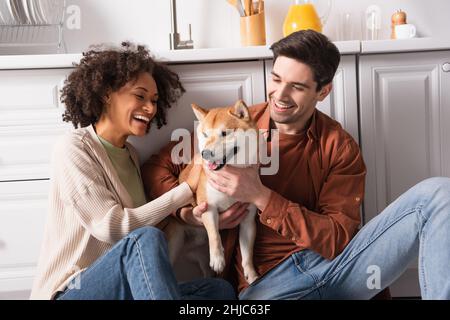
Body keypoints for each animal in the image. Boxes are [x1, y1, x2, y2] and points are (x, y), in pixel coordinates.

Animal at [166, 99, 258, 282]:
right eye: (205, 135)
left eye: (225, 133)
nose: (205, 153)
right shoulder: (207, 208)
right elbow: (214, 235)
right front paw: (217, 258)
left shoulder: (248, 220)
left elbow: (247, 255)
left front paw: (252, 275)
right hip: (176, 242)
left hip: (199, 254)